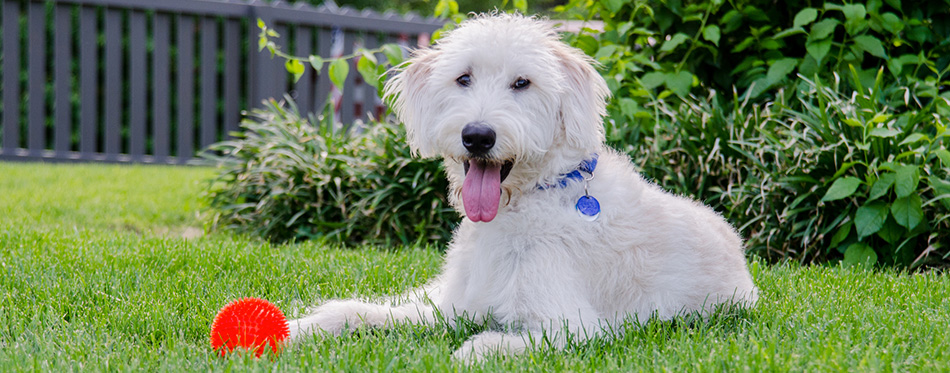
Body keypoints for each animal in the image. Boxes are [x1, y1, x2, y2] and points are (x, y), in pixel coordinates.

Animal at [290, 13, 760, 358]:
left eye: (522, 83)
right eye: (463, 78)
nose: (478, 136)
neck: (529, 201)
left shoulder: (575, 327)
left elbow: (480, 346)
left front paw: (470, 349)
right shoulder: (454, 305)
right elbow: (361, 314)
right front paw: (299, 327)